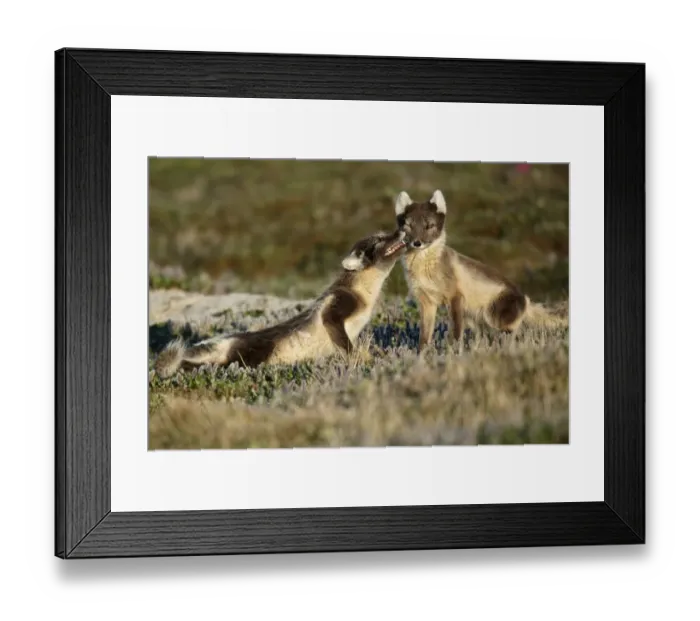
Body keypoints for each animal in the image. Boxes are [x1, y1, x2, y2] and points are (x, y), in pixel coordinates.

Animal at [153, 229, 408, 378]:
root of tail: (228, 340)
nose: (401, 230)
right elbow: (342, 337)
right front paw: (361, 359)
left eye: (385, 233)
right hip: (253, 355)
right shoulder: (336, 306)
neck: (365, 293)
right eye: (379, 240)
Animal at [394, 189, 568, 352]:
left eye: (429, 226)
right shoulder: (427, 302)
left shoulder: (455, 297)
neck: (425, 268)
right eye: (408, 226)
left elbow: (456, 333)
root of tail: (525, 298)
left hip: (492, 316)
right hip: (476, 318)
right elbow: (424, 337)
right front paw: (421, 356)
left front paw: (453, 352)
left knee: (514, 331)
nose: (417, 243)